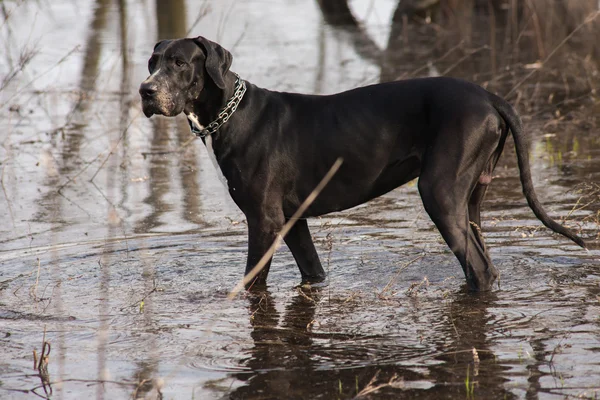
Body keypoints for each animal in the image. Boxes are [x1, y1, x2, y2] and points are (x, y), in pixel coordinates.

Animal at [138, 36, 584, 290]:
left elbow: (252, 283)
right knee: (485, 261)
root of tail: (489, 96)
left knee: (478, 270)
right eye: (151, 62)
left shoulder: (263, 221)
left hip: (439, 193)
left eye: (179, 63)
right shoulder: (292, 219)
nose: (145, 91)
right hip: (470, 199)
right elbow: (313, 271)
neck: (230, 114)